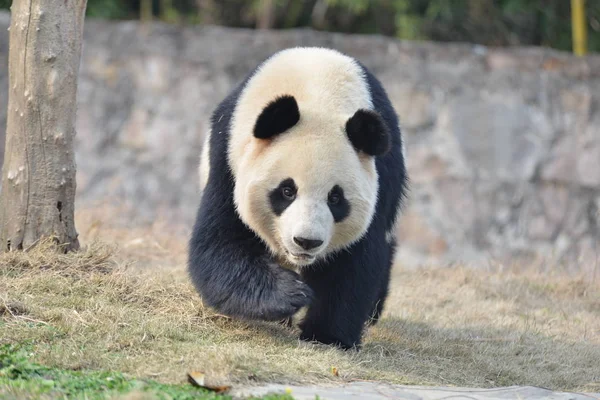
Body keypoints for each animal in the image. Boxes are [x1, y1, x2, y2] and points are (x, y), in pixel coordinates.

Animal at [190, 45, 410, 348]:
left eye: (335, 199)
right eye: (287, 191)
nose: (306, 242)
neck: (317, 90)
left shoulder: (382, 179)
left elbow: (352, 263)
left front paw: (327, 336)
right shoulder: (228, 159)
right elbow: (220, 244)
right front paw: (290, 294)